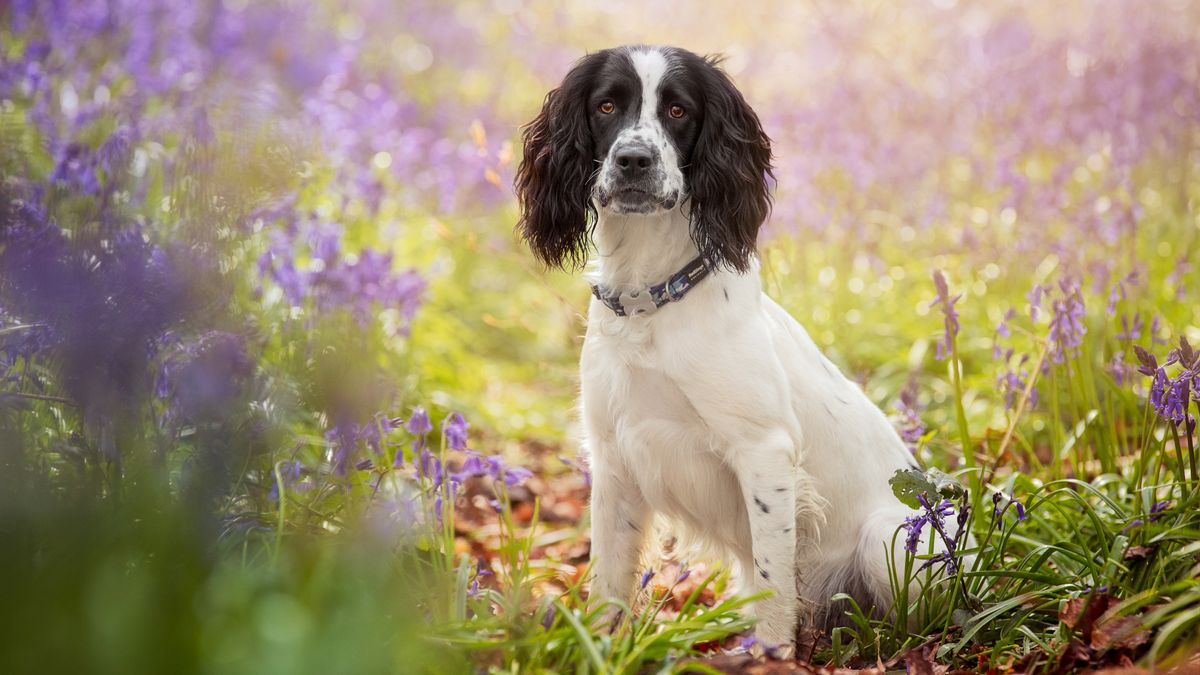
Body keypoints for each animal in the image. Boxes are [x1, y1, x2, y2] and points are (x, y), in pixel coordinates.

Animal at [513, 44, 916, 648]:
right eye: (606, 105)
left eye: (678, 110)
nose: (633, 160)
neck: (650, 306)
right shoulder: (613, 457)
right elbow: (609, 580)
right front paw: (601, 646)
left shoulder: (764, 452)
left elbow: (774, 584)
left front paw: (770, 653)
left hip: (883, 537)